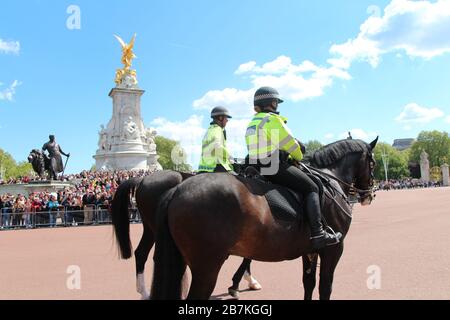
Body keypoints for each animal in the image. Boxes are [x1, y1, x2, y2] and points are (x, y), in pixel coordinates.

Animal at [150, 138, 376, 300]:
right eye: (373, 163)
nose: (369, 194)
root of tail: (178, 188)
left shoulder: (310, 250)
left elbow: (308, 283)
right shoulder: (333, 249)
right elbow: (325, 287)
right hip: (206, 266)